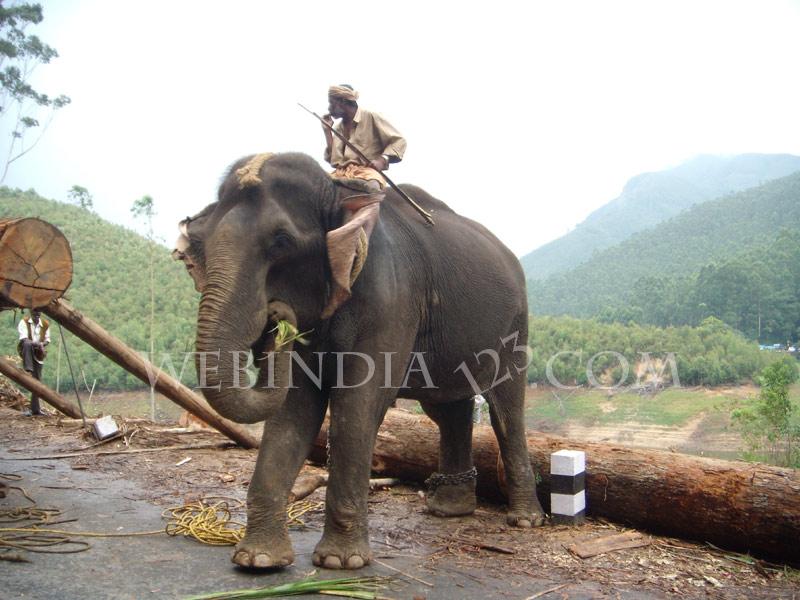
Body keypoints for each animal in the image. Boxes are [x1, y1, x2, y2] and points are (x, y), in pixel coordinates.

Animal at [176, 152, 548, 568]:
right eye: (200, 245)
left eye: (281, 241)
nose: (277, 319)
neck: (337, 191)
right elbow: (294, 408)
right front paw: (259, 561)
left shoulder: (391, 297)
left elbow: (358, 404)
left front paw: (341, 562)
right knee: (448, 407)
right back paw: (449, 511)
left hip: (515, 327)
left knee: (506, 408)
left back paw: (525, 520)